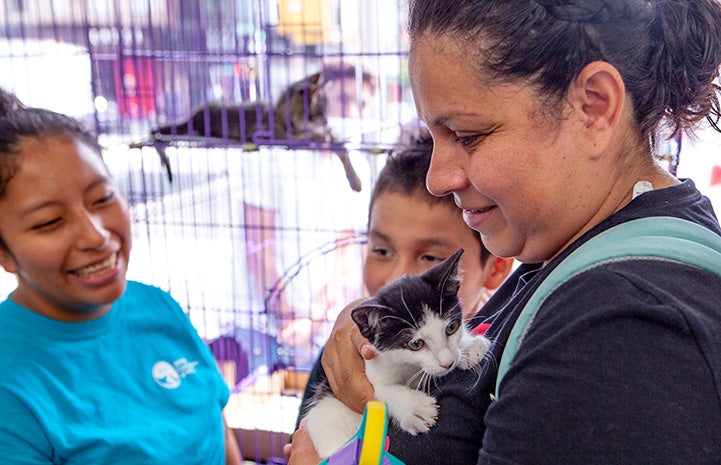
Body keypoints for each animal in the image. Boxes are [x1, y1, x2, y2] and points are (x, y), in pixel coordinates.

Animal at [304, 248, 490, 458]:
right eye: (416, 344)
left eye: (451, 328)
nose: (448, 362)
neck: (410, 366)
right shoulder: (370, 370)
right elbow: (382, 390)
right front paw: (414, 408)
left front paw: (470, 347)